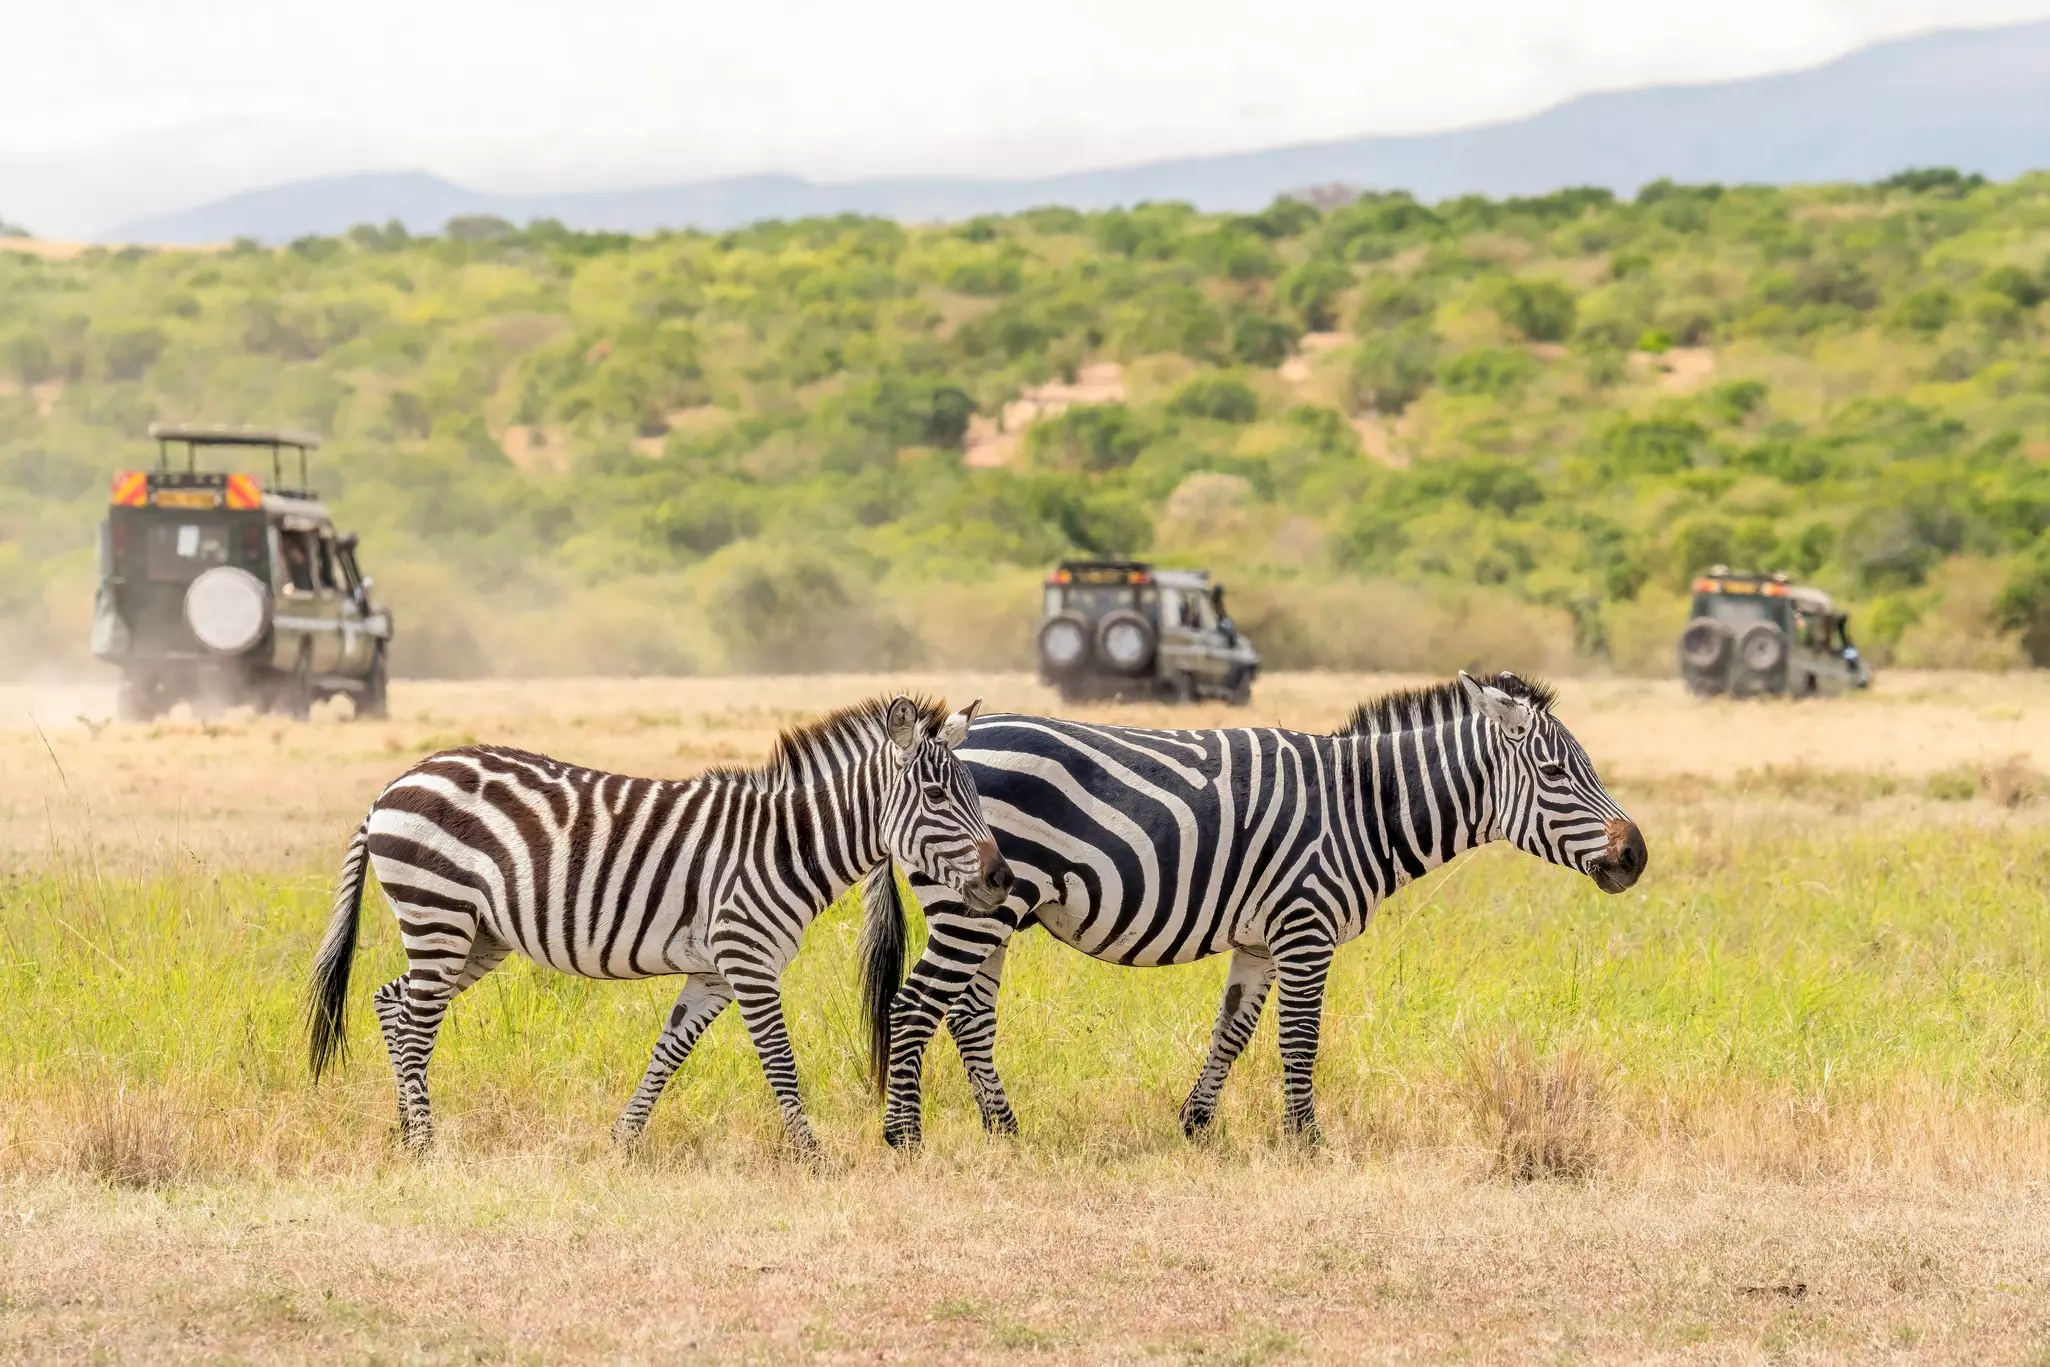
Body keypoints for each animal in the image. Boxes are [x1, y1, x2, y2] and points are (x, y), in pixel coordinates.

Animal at [306, 694, 1011, 1155]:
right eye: (937, 796)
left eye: (977, 792)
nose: (1003, 881)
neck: (785, 844)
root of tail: (393, 785)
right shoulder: (748, 958)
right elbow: (779, 1060)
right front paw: (813, 1157)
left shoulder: (716, 971)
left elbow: (669, 1050)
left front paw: (622, 1140)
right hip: (439, 912)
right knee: (417, 1021)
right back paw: (425, 1146)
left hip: (477, 934)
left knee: (392, 1002)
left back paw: (407, 1130)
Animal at [860, 671, 1646, 1146]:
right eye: (1556, 772)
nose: (1636, 854)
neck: (1364, 807)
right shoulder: (1306, 926)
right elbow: (1299, 1039)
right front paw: (1306, 1140)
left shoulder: (1261, 939)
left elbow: (1232, 1032)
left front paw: (1195, 1124)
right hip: (974, 912)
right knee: (916, 1007)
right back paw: (905, 1136)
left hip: (991, 913)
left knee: (968, 1016)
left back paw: (1006, 1130)